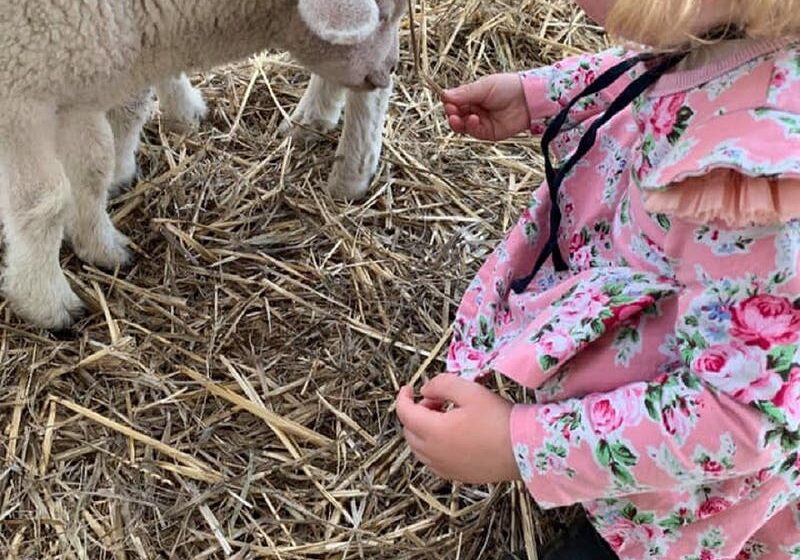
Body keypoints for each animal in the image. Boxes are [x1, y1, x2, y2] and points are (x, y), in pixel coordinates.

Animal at [1, 0, 406, 330]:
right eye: (381, 14)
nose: (388, 70)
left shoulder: (74, 86)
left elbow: (91, 169)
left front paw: (100, 246)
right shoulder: (19, 98)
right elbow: (44, 203)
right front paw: (45, 302)